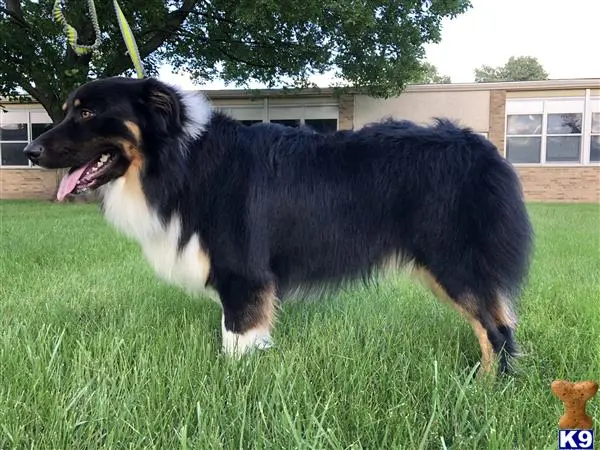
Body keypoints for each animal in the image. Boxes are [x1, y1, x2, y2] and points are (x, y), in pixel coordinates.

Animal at [23, 76, 532, 372]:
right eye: (68, 109)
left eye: (89, 112)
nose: (29, 151)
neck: (180, 161)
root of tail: (483, 149)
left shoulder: (243, 273)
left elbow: (235, 343)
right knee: (498, 324)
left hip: (454, 261)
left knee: (497, 332)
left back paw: (485, 391)